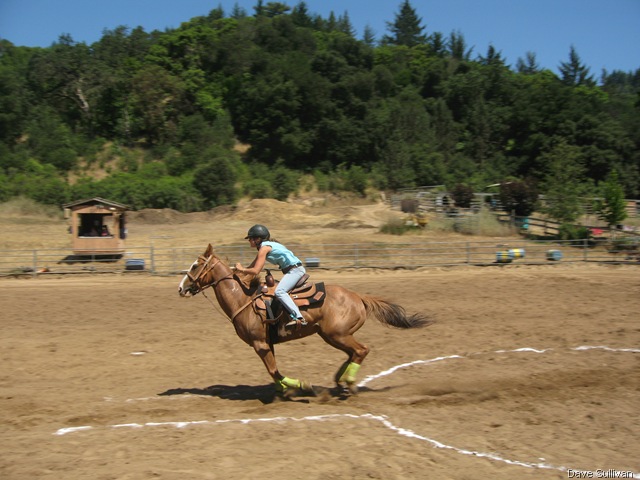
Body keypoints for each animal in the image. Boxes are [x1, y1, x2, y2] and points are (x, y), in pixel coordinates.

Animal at [178, 244, 430, 396]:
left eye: (195, 265)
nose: (181, 288)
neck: (244, 299)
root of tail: (358, 296)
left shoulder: (260, 344)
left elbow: (274, 371)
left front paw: (301, 386)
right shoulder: (266, 344)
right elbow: (273, 372)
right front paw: (286, 390)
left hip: (337, 334)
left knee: (361, 351)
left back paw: (347, 383)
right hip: (332, 335)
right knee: (353, 353)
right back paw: (340, 382)